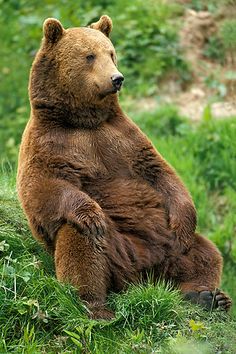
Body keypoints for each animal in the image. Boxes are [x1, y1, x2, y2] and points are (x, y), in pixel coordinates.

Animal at [17, 15, 231, 320]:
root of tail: (145, 275)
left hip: (170, 248)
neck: (85, 120)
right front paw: (91, 214)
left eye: (111, 53)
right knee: (83, 245)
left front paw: (183, 221)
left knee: (205, 253)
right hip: (116, 251)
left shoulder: (122, 138)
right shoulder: (50, 142)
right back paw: (94, 306)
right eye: (89, 56)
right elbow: (42, 186)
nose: (117, 78)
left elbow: (160, 173)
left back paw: (207, 296)